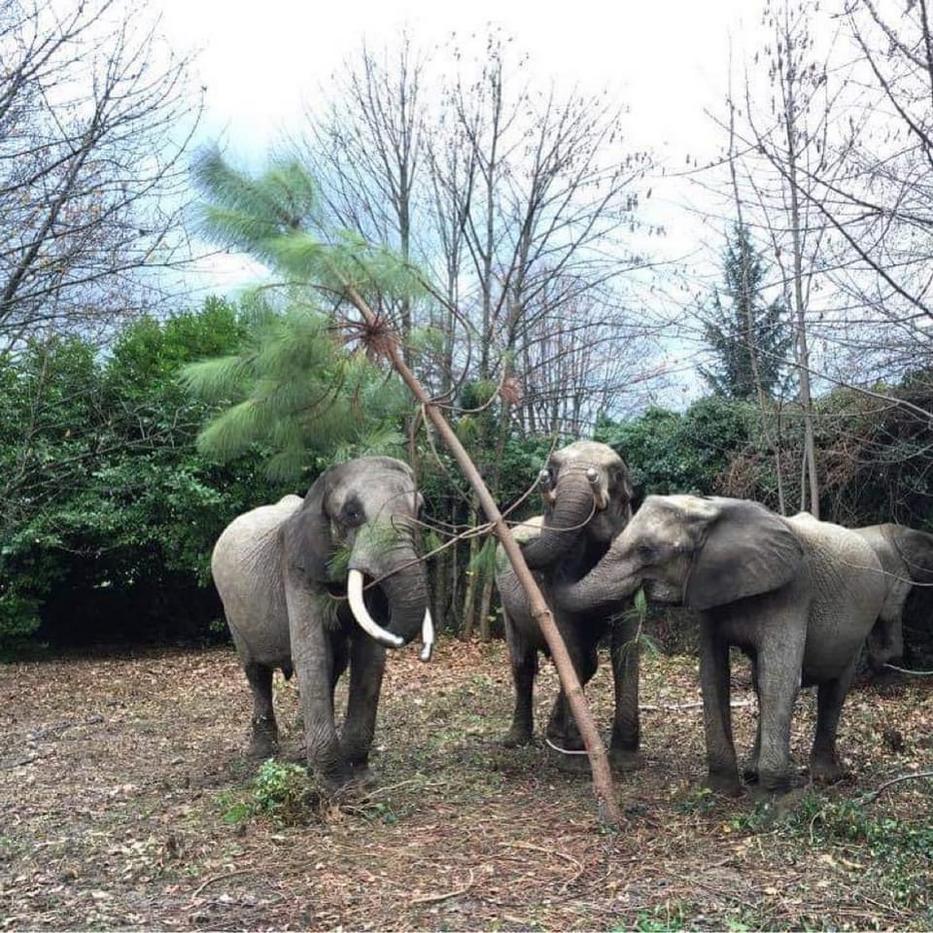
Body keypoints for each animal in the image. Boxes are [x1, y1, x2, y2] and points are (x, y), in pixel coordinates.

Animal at [211, 456, 434, 792]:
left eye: (420, 511)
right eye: (352, 513)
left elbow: (369, 659)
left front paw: (359, 775)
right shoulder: (296, 568)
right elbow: (312, 654)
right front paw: (335, 784)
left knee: (334, 667)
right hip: (232, 610)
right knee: (256, 672)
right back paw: (262, 753)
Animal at [492, 440, 636, 768]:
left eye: (617, 473)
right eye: (552, 470)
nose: (520, 542)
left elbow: (624, 646)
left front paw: (624, 758)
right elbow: (569, 642)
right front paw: (575, 756)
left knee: (588, 662)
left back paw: (554, 733)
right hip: (506, 603)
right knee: (523, 661)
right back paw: (516, 740)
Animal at [552, 496, 888, 792]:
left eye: (646, 551)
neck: (710, 508)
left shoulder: (793, 591)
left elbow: (780, 679)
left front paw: (776, 797)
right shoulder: (711, 591)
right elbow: (714, 675)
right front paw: (722, 788)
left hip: (861, 622)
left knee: (832, 690)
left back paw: (825, 777)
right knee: (760, 683)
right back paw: (753, 773)